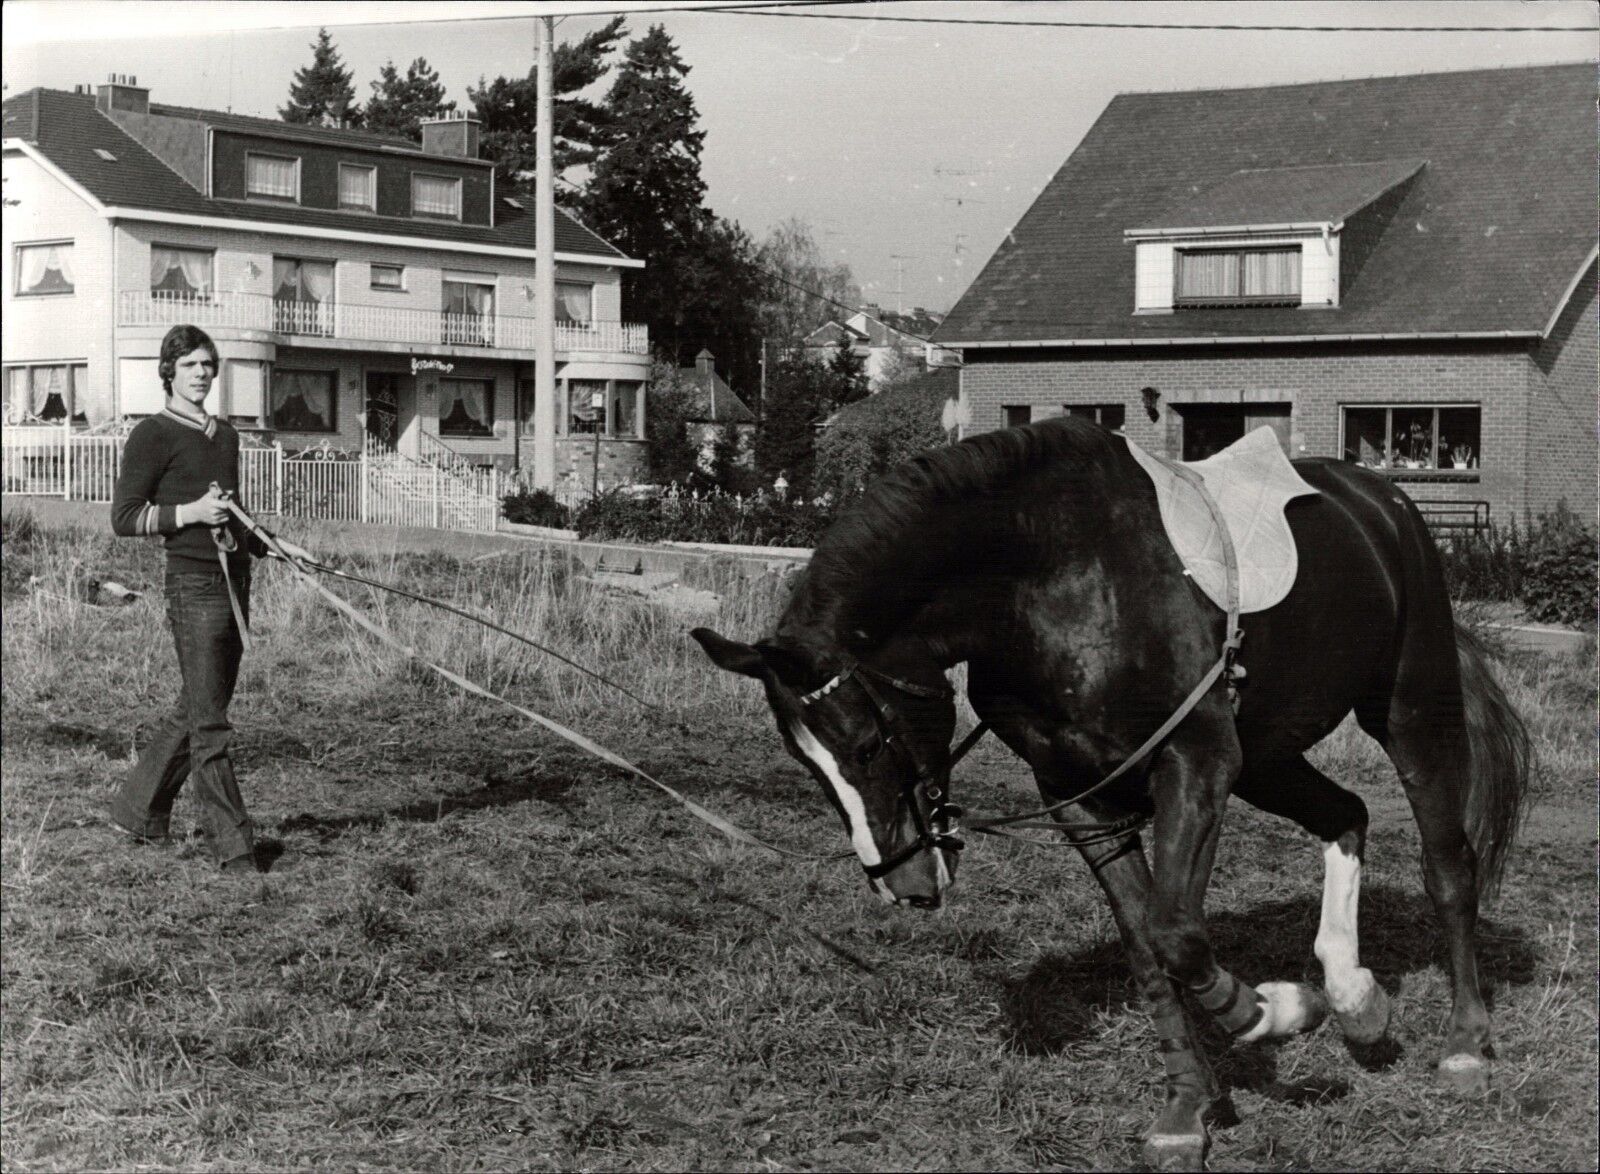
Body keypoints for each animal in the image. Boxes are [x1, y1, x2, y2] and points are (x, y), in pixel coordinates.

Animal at [694, 419, 1529, 1170]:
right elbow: (1147, 950)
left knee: (1448, 868)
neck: (1052, 581)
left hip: (1411, 710)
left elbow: (1176, 932)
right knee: (1345, 815)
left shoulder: (1196, 765)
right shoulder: (1079, 799)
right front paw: (1187, 1111)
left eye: (866, 744)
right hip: (1267, 757)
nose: (902, 882)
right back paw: (1356, 1000)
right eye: (805, 763)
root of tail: (1381, 500)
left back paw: (1463, 1043)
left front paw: (1268, 1011)